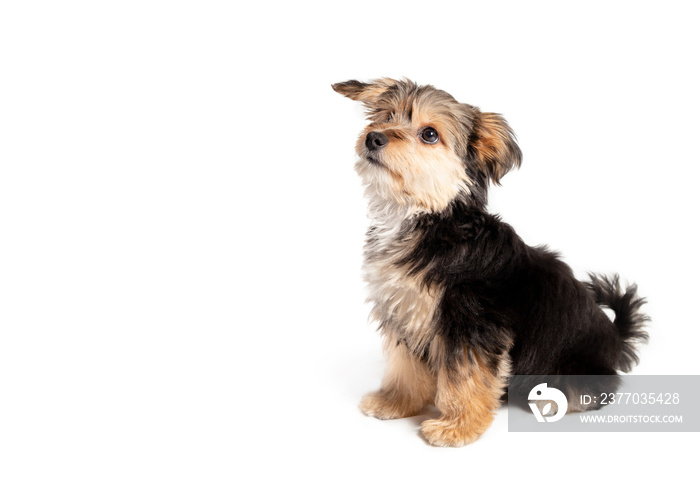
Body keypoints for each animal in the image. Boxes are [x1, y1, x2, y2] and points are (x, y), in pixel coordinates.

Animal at [334, 77, 652, 448]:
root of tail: (615, 339)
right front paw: (396, 401)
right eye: (386, 116)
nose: (374, 137)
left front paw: (457, 427)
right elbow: (405, 365)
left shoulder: (472, 323)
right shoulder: (405, 312)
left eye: (429, 134)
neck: (427, 216)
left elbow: (467, 377)